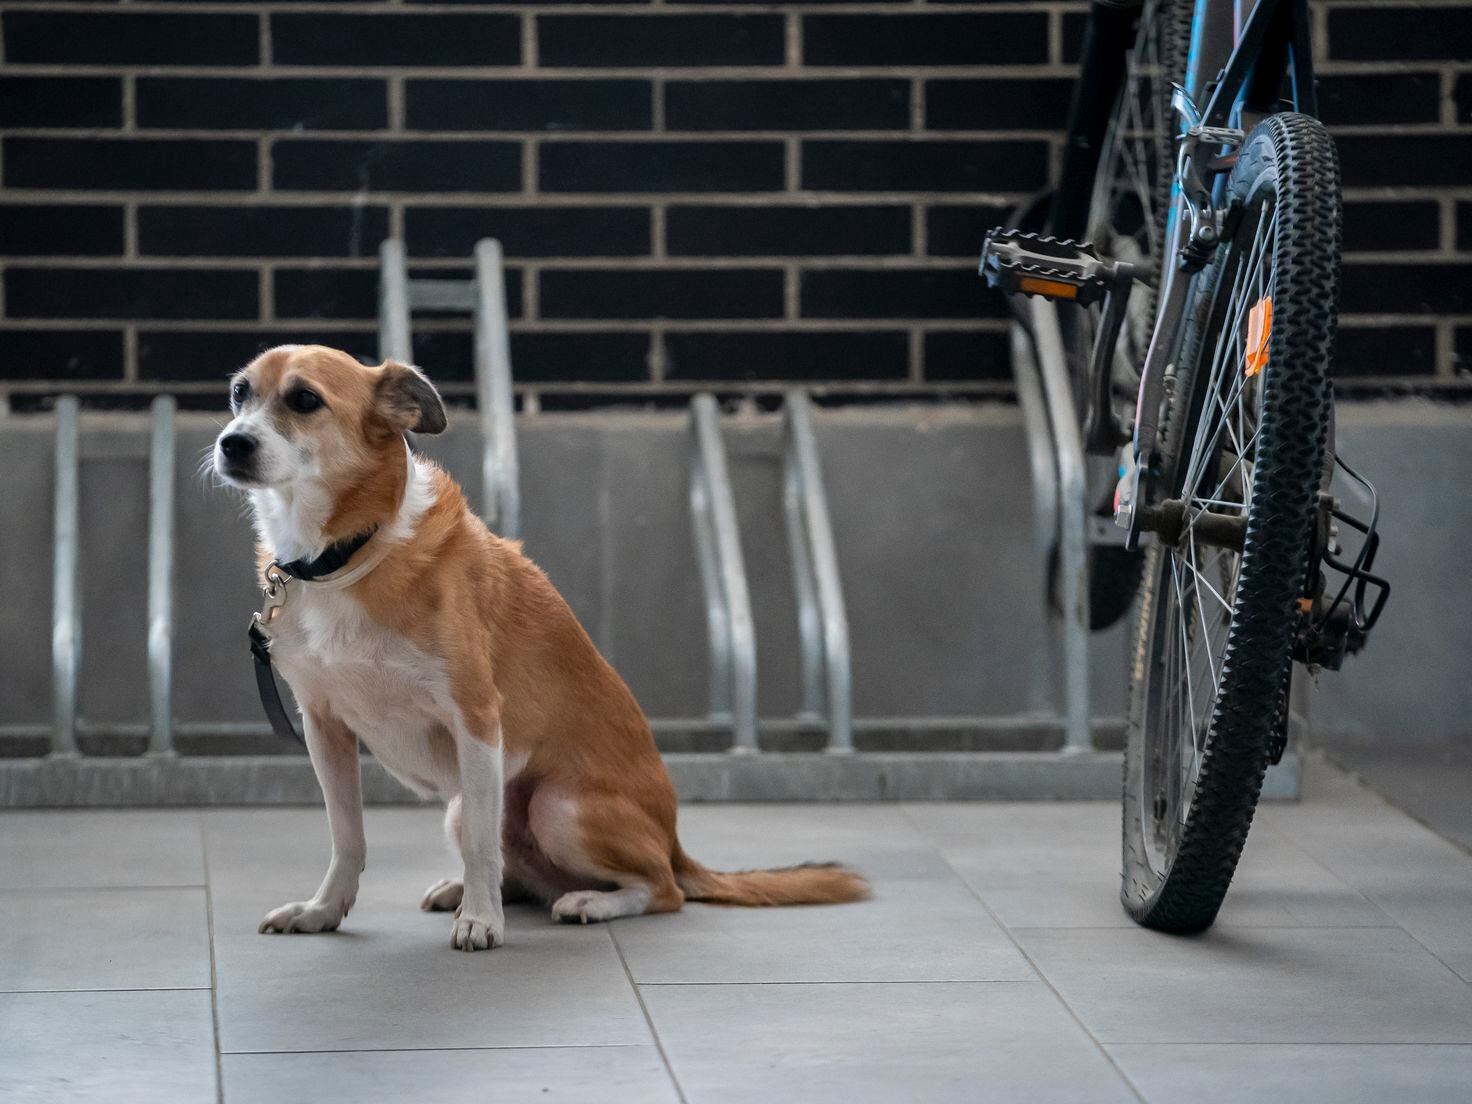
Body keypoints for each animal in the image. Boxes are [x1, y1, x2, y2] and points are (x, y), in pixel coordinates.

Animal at [213, 345, 865, 953]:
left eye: (304, 400)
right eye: (240, 393)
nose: (230, 443)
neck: (349, 553)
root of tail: (677, 844)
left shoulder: (476, 720)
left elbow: (482, 842)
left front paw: (481, 921)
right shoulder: (324, 727)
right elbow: (347, 836)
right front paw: (323, 911)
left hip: (555, 806)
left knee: (661, 890)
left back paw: (587, 903)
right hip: (475, 807)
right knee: (525, 870)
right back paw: (474, 890)